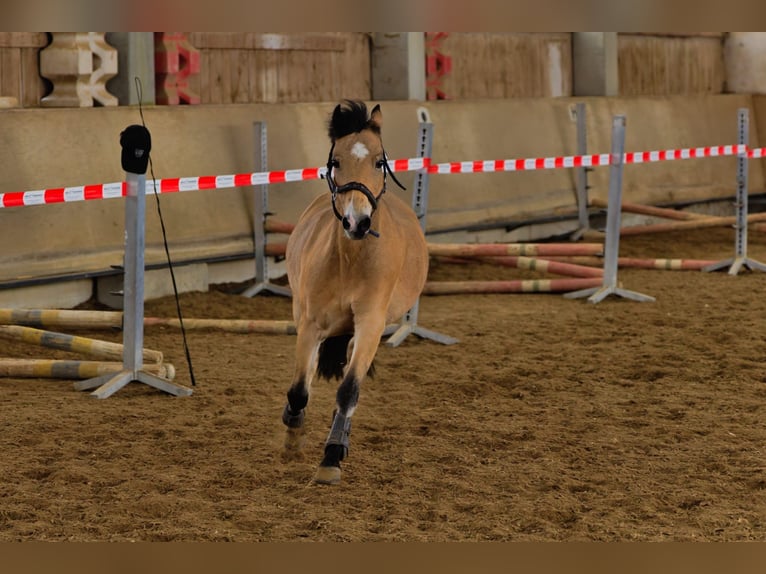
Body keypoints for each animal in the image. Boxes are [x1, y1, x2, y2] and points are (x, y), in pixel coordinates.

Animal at [281, 100, 429, 485]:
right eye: (336, 162)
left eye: (379, 162)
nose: (356, 222)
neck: (350, 259)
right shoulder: (310, 324)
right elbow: (299, 389)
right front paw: (293, 434)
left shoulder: (370, 324)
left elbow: (348, 391)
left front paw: (332, 457)